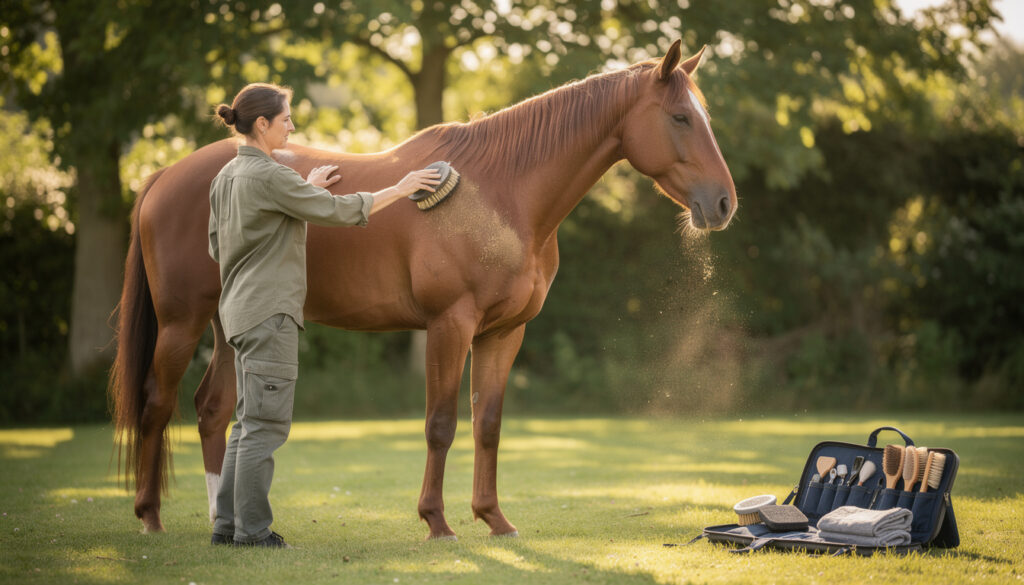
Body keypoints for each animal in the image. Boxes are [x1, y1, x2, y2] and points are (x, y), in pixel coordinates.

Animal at [109, 39, 736, 539]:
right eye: (680, 117)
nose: (724, 203)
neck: (501, 192)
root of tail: (164, 175)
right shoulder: (449, 325)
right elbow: (441, 425)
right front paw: (437, 522)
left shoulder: (503, 333)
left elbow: (488, 426)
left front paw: (494, 519)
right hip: (181, 323)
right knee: (157, 405)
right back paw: (150, 517)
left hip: (226, 325)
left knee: (213, 412)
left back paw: (225, 520)